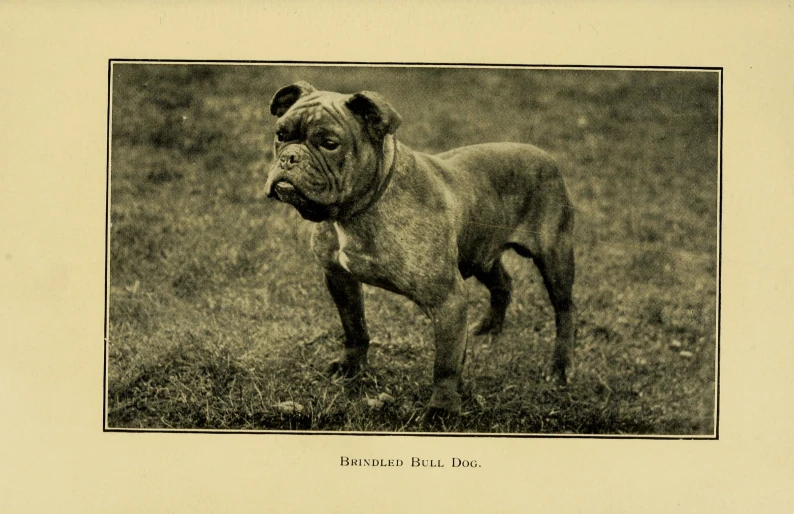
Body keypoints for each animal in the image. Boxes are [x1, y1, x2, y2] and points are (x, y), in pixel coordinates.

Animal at [266, 82, 576, 414]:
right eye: (280, 134)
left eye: (329, 143)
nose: (290, 157)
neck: (359, 209)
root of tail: (543, 155)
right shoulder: (340, 278)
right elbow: (354, 328)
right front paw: (351, 367)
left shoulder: (447, 299)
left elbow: (446, 363)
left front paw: (442, 407)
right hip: (480, 252)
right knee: (502, 283)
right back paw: (487, 330)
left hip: (554, 257)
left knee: (565, 310)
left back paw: (559, 369)